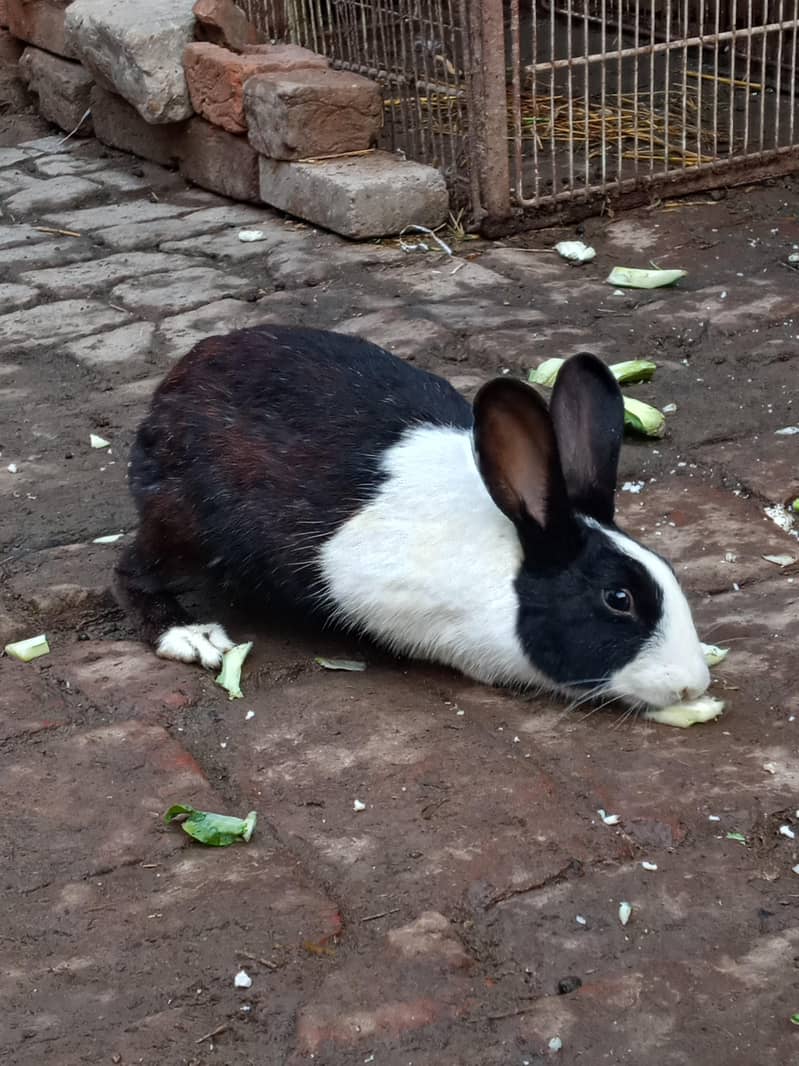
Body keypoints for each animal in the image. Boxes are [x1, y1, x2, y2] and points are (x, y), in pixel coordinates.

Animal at [115, 325, 710, 712]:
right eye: (619, 599)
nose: (693, 687)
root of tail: (171, 387)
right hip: (185, 522)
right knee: (132, 569)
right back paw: (192, 637)